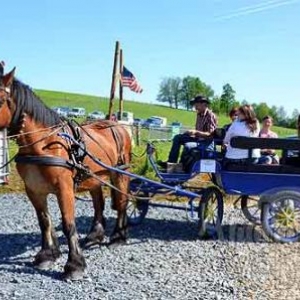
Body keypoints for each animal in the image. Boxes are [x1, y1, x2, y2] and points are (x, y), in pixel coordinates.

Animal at [0, 68, 131, 278]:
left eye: (1, 99)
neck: (44, 145)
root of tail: (118, 125)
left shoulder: (64, 189)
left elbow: (69, 224)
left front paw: (74, 264)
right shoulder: (34, 190)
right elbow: (44, 221)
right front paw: (47, 255)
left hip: (120, 174)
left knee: (121, 203)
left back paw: (118, 237)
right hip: (94, 178)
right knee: (99, 204)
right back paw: (95, 235)